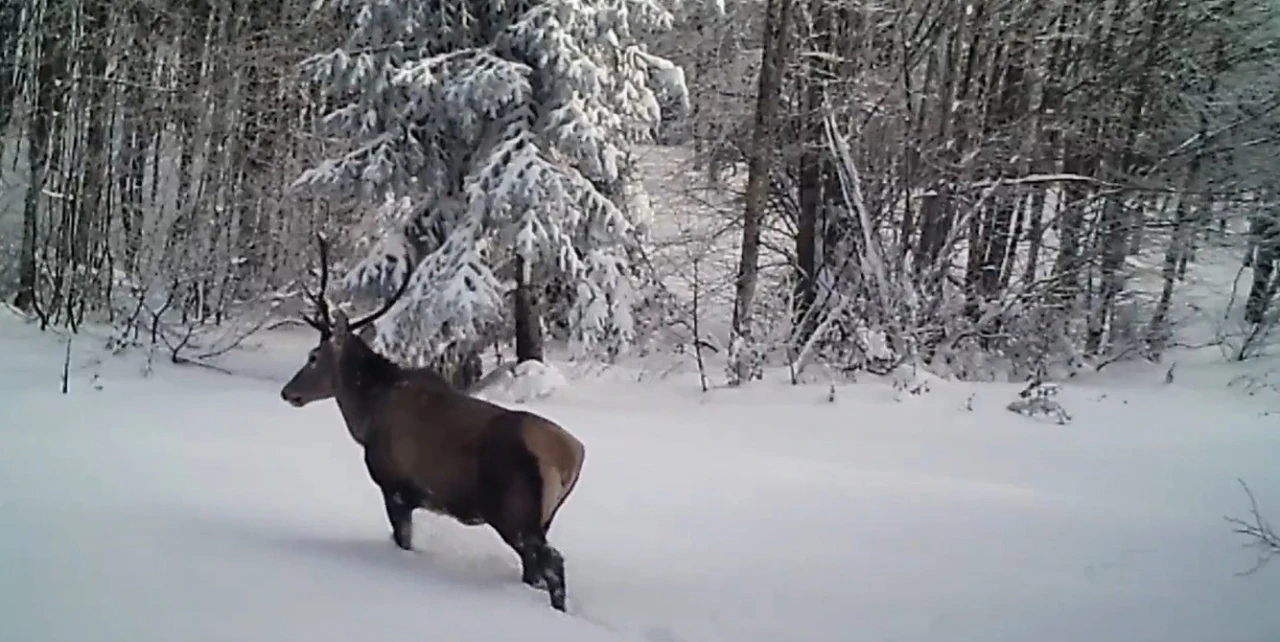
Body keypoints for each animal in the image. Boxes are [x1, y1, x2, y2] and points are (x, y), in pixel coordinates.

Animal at [282, 235, 586, 611]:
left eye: (313, 357)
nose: (288, 392)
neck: (365, 417)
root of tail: (572, 455)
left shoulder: (395, 486)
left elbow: (403, 539)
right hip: (542, 517)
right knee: (535, 570)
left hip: (515, 514)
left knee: (553, 563)